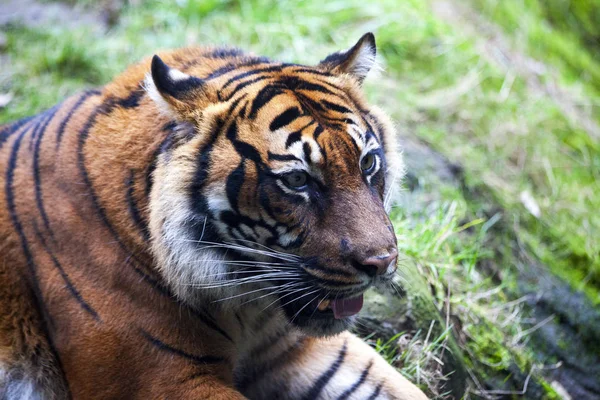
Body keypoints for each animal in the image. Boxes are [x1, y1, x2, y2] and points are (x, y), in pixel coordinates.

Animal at [2, 32, 428, 398]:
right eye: (297, 179)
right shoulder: (157, 378)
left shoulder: (298, 348)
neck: (250, 309)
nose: (382, 263)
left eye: (368, 162)